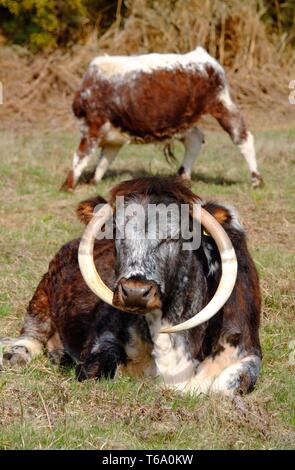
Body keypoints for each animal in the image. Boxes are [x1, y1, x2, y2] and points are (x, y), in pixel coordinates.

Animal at [1, 176, 262, 396]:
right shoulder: (103, 338)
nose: (135, 292)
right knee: (30, 335)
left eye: (178, 235)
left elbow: (224, 387)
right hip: (41, 298)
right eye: (116, 231)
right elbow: (97, 370)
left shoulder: (248, 352)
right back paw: (16, 355)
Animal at [61, 48, 264, 193]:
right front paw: (92, 181)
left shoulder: (94, 126)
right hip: (183, 120)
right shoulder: (113, 136)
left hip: (222, 105)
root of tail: (203, 56)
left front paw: (68, 186)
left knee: (243, 138)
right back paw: (182, 176)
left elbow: (80, 156)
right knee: (195, 140)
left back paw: (256, 180)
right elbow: (104, 160)